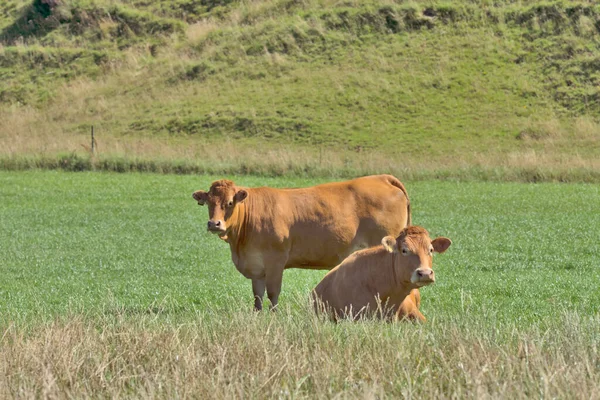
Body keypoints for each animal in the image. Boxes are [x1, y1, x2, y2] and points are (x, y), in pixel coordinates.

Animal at [195, 174, 410, 310]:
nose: (214, 224)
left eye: (230, 202)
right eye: (208, 203)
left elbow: (273, 293)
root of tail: (381, 178)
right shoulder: (257, 266)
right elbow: (258, 297)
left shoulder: (276, 261)